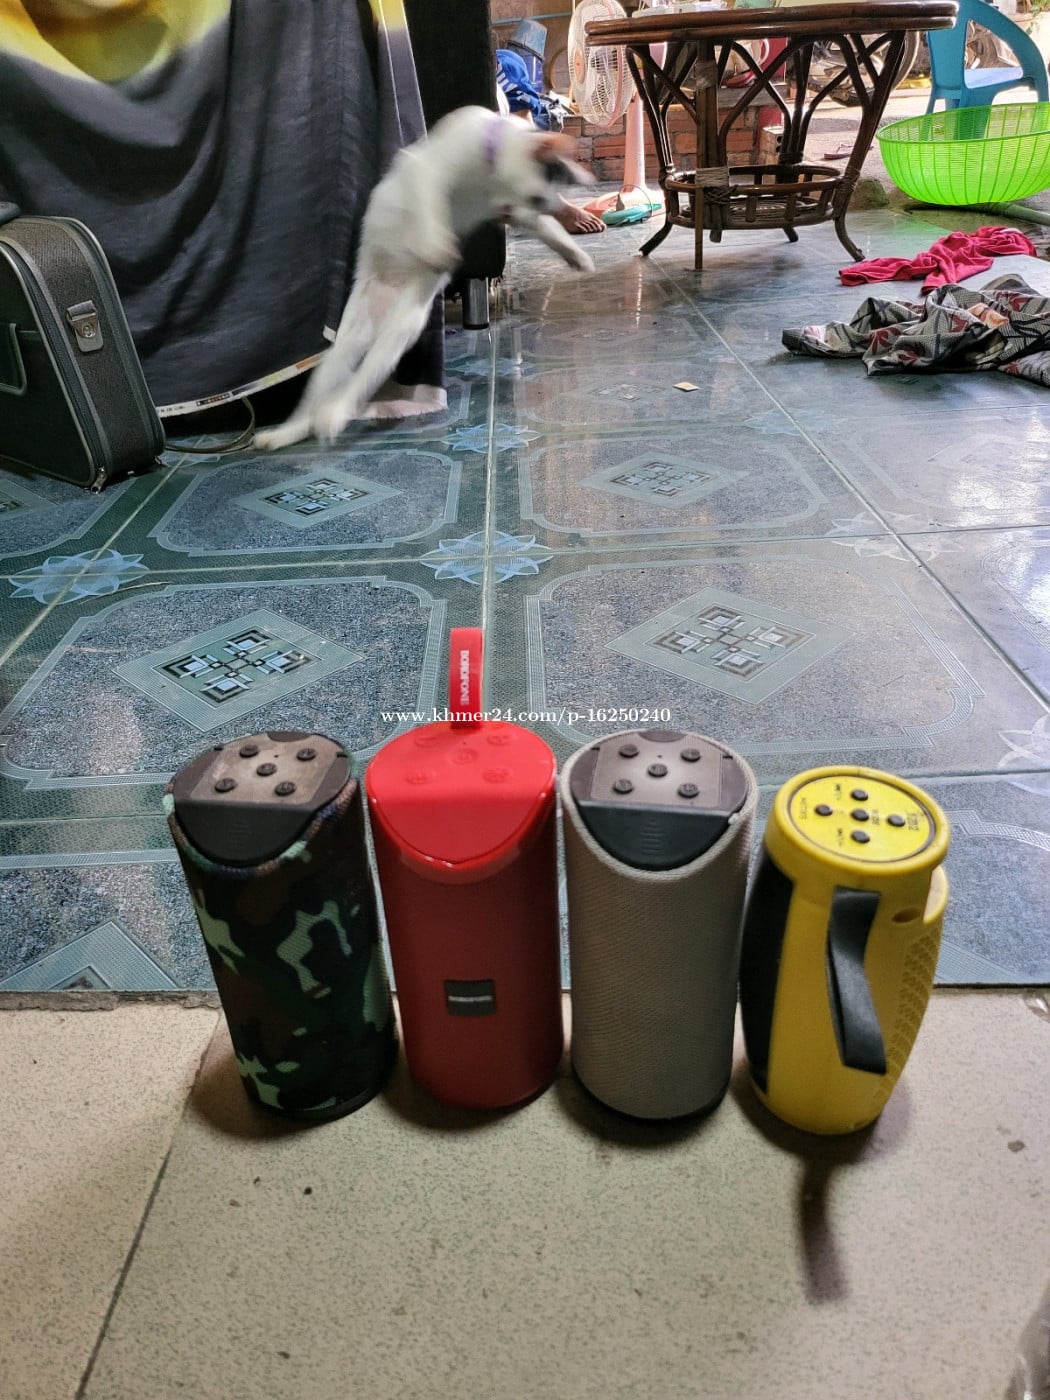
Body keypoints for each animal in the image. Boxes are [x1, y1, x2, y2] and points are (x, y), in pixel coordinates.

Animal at [254, 105, 595, 451]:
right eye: (540, 200)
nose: (553, 207)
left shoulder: (509, 207)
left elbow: (549, 232)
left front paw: (575, 255)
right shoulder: (424, 168)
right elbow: (431, 207)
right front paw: (436, 245)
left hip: (394, 333)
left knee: (346, 386)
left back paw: (306, 425)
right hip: (359, 343)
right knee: (334, 391)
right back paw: (306, 425)